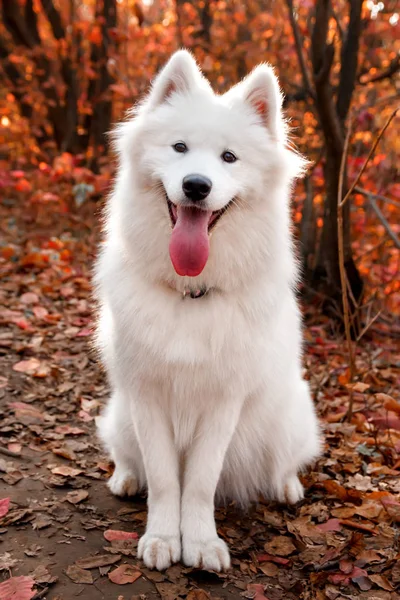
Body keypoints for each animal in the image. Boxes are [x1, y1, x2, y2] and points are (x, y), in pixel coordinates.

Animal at [95, 50, 320, 572]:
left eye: (229, 158)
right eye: (179, 148)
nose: (196, 186)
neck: (190, 292)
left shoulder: (223, 401)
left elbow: (198, 480)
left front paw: (199, 543)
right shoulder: (147, 397)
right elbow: (164, 479)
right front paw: (163, 538)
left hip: (290, 415)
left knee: (285, 461)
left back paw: (286, 486)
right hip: (121, 415)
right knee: (128, 456)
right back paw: (125, 477)